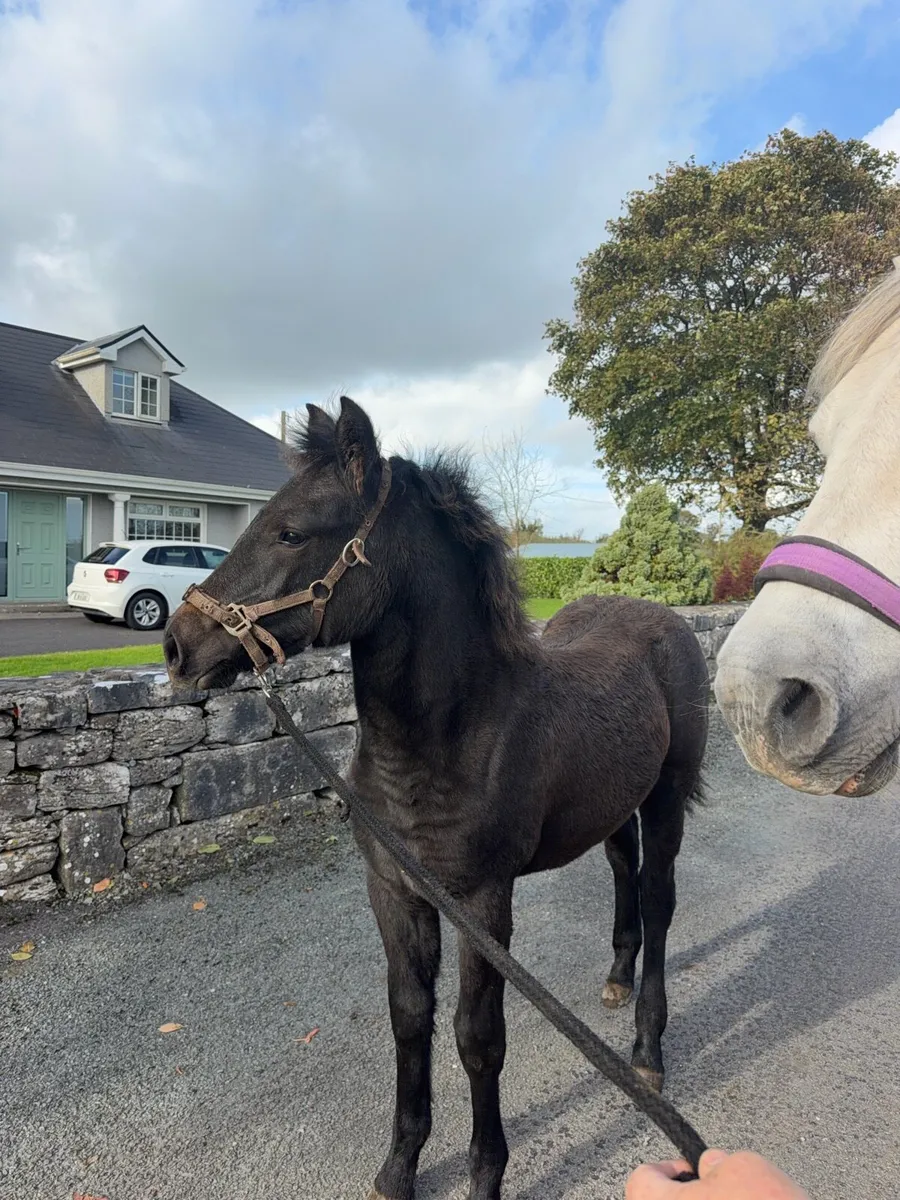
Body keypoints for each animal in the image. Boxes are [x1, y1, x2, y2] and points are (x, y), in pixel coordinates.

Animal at [163, 396, 709, 1200]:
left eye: (292, 530)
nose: (178, 646)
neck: (451, 737)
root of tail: (662, 615)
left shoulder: (482, 900)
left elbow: (477, 1038)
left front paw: (486, 1174)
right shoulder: (395, 890)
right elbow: (409, 1019)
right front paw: (399, 1167)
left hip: (666, 797)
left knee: (660, 897)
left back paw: (646, 1051)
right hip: (612, 805)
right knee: (623, 875)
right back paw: (614, 980)